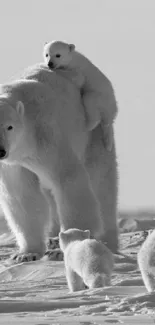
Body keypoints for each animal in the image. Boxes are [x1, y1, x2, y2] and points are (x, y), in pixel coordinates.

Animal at [0, 64, 117, 260]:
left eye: (10, 127)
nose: (1, 150)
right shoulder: (12, 163)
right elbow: (21, 194)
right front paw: (26, 254)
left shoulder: (45, 135)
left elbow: (68, 179)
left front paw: (67, 247)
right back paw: (53, 238)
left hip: (94, 135)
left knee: (102, 184)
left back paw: (108, 242)